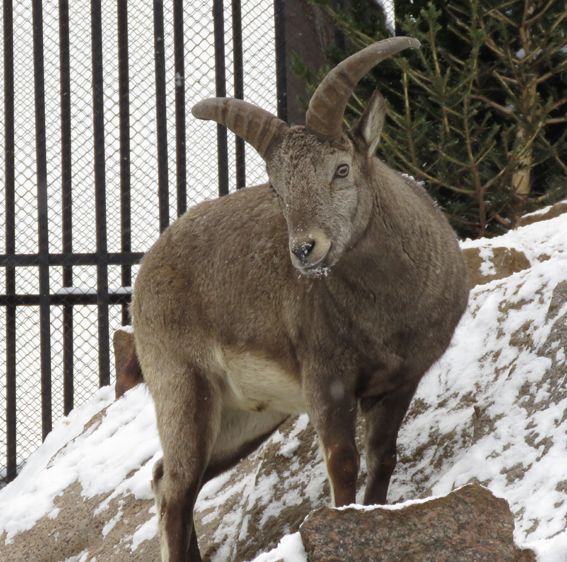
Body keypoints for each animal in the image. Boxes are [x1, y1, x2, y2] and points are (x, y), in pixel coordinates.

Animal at [133, 37, 470, 556]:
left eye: (341, 168)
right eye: (276, 187)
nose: (306, 249)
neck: (388, 314)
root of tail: (147, 270)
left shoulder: (401, 380)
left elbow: (383, 457)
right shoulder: (326, 379)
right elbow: (343, 461)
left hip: (245, 418)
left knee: (165, 478)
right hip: (183, 388)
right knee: (175, 490)